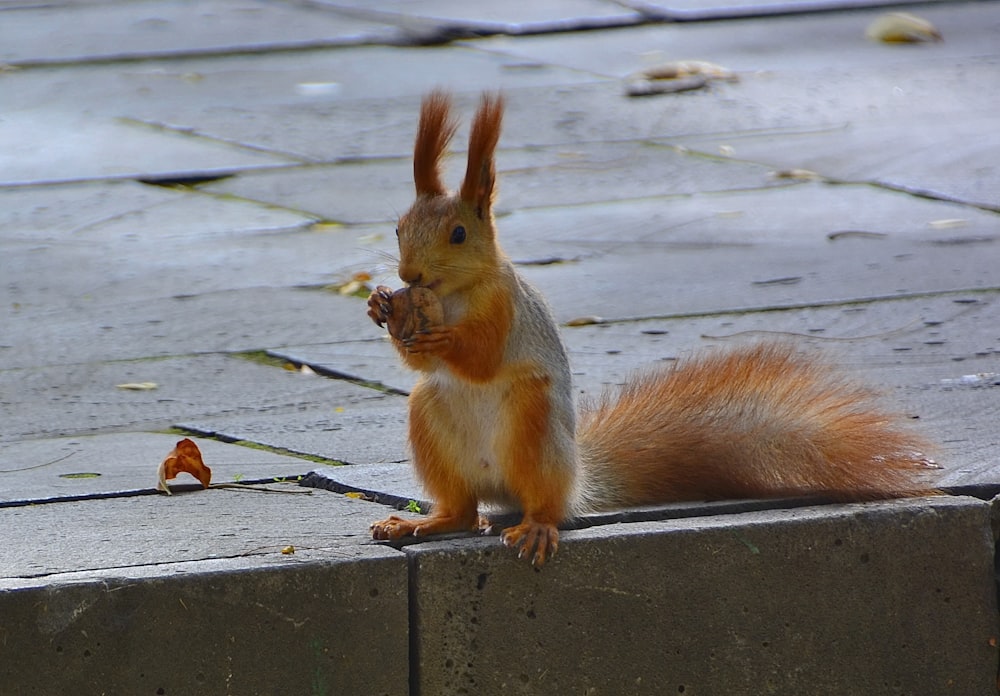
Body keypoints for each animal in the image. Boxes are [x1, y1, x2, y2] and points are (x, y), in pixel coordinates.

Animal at [368, 88, 936, 564]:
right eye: (397, 229)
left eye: (459, 233)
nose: (408, 275)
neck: (451, 297)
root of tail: (572, 482)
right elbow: (418, 360)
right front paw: (383, 308)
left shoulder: (506, 307)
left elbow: (483, 355)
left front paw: (443, 336)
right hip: (431, 420)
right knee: (464, 510)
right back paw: (424, 524)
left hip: (534, 423)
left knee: (542, 504)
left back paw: (536, 527)